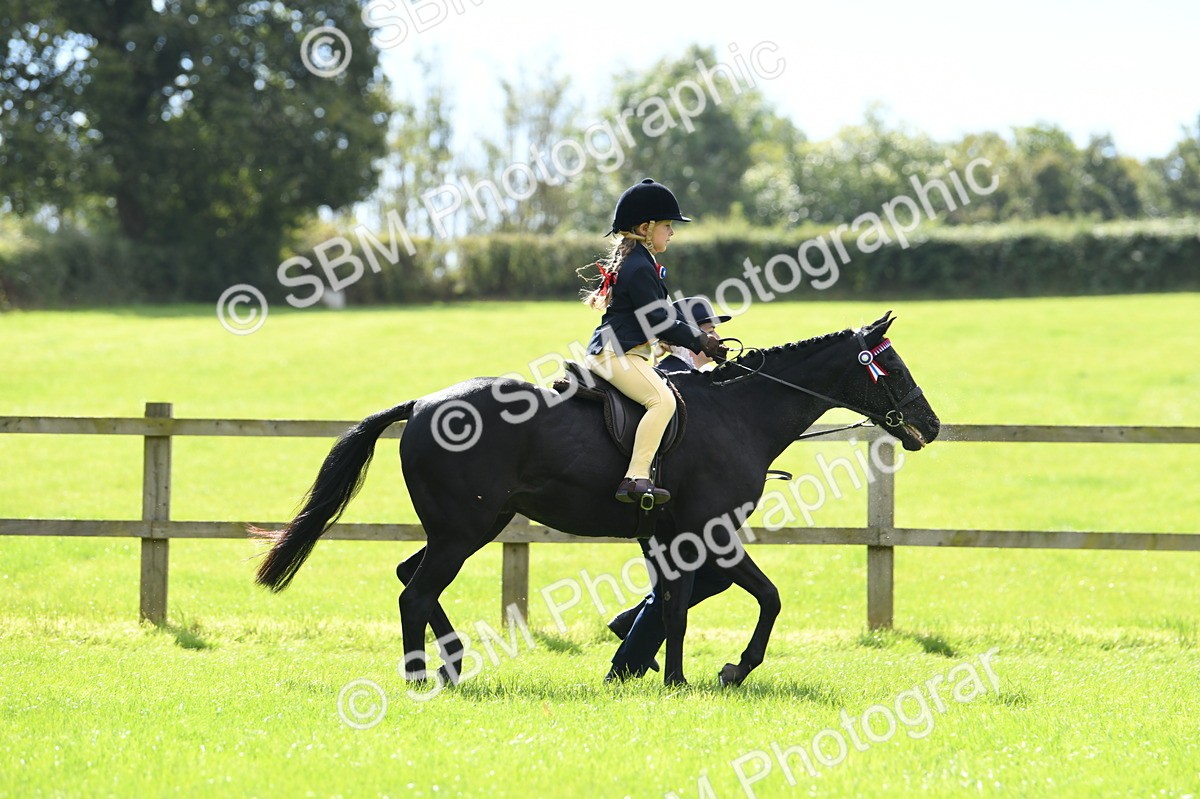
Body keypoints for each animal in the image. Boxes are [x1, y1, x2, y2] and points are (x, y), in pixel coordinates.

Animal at [254, 311, 940, 688]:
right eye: (892, 367)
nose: (930, 426)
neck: (738, 413)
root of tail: (422, 404)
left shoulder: (673, 539)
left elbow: (675, 606)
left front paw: (665, 675)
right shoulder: (711, 535)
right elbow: (765, 598)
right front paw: (729, 670)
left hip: (468, 527)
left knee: (411, 579)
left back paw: (450, 665)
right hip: (462, 531)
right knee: (414, 593)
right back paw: (423, 677)